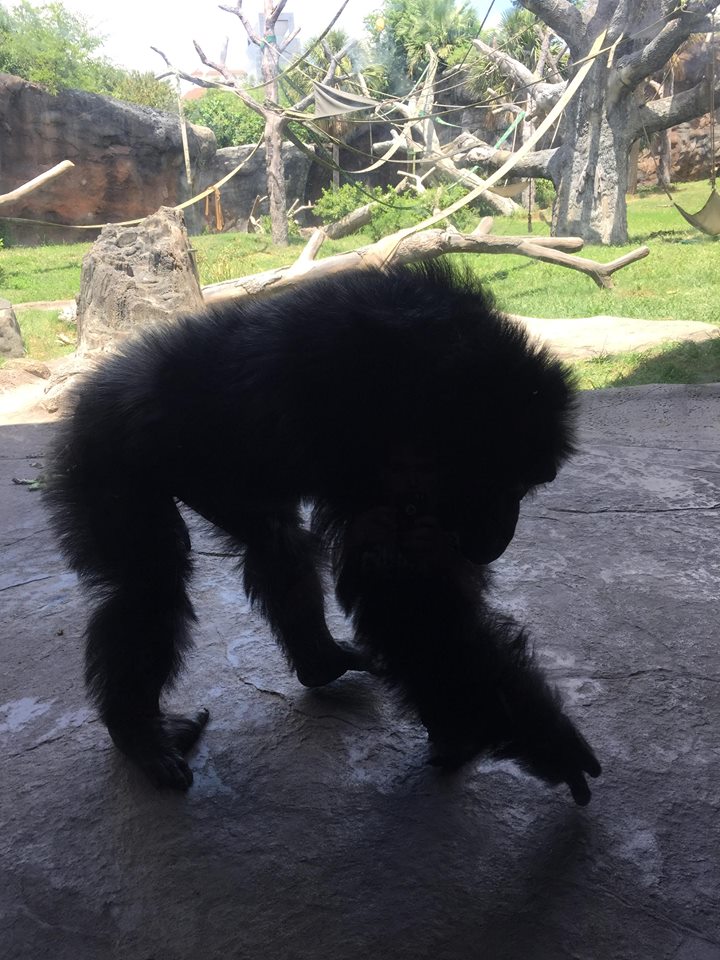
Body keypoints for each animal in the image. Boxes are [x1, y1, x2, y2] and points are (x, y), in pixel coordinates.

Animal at [44, 259, 601, 802]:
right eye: (512, 486)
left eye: (527, 488)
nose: (506, 527)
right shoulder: (365, 443)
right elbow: (400, 581)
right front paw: (550, 744)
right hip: (102, 453)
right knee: (149, 582)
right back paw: (140, 734)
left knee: (275, 540)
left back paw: (321, 659)